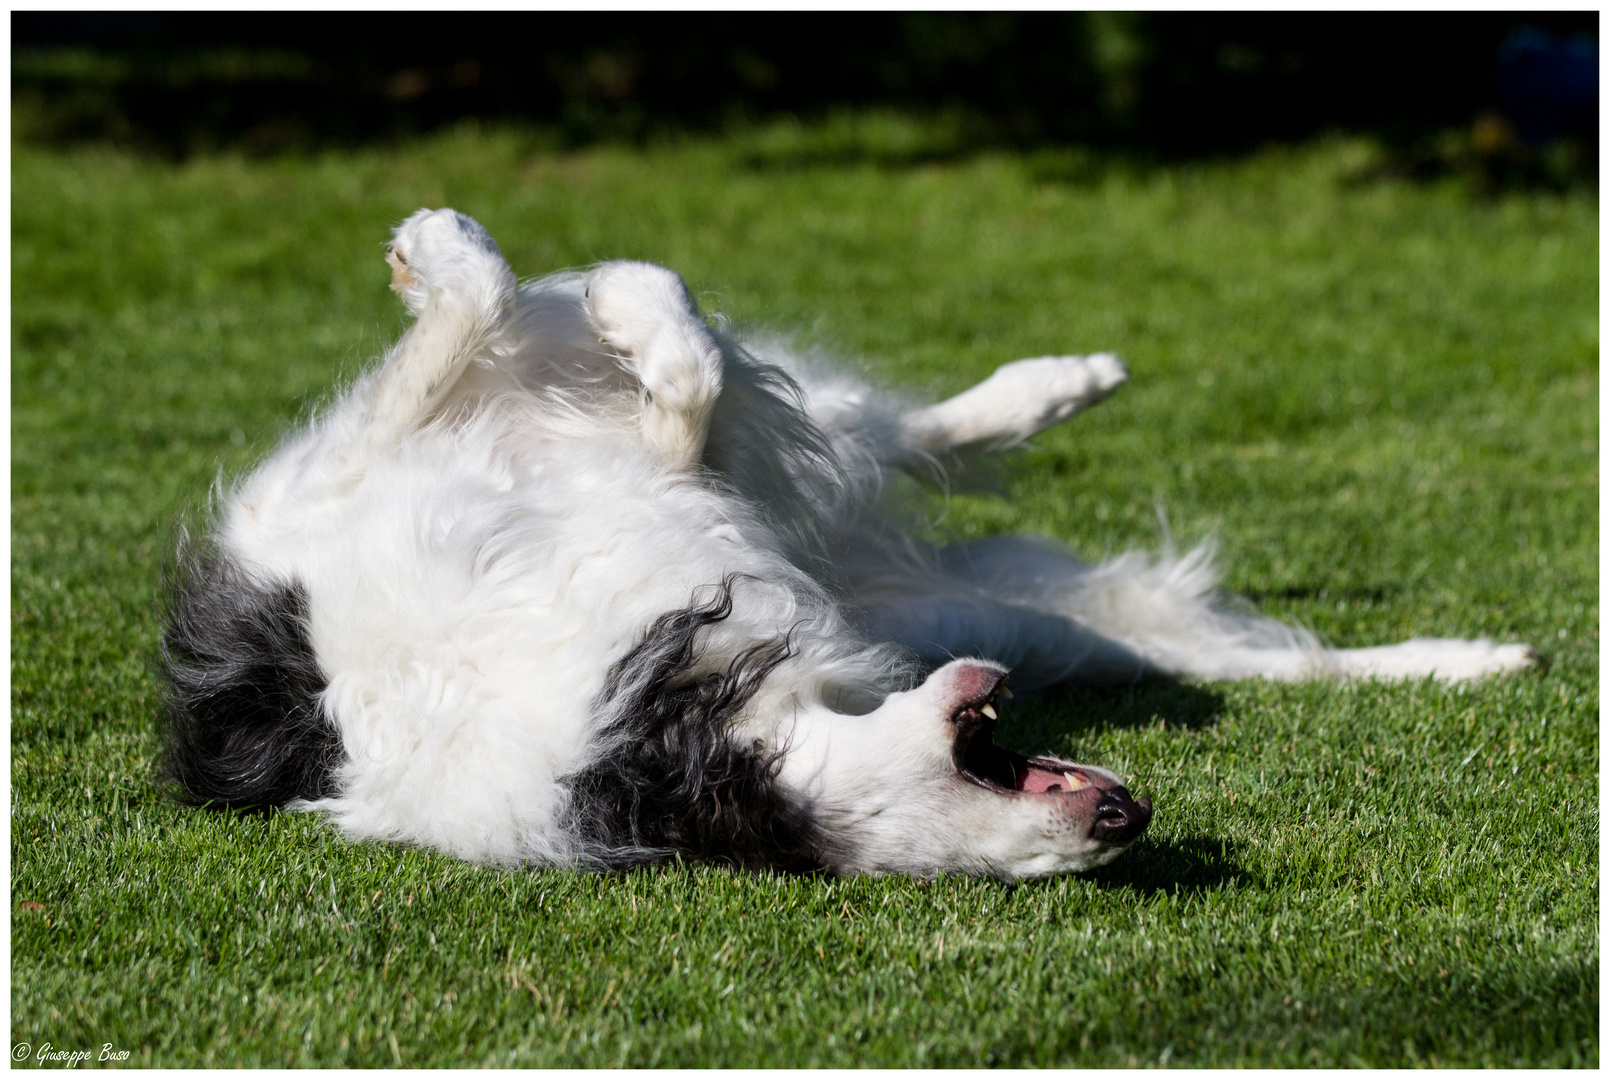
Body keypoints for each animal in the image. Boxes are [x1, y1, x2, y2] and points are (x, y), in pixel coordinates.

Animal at [160, 209, 1532, 875]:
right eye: (957, 870)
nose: (1124, 824)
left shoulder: (612, 485)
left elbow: (669, 356)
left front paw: (593, 286)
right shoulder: (326, 493)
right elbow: (532, 313)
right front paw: (476, 256)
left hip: (916, 572)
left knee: (902, 433)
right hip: (971, 606)